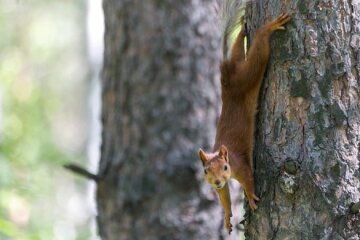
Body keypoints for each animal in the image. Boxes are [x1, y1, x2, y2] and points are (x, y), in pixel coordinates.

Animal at [198, 0, 292, 233]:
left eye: (225, 167)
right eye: (205, 171)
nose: (217, 181)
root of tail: (227, 77)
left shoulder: (240, 165)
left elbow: (249, 180)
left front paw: (250, 198)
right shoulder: (221, 187)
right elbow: (224, 197)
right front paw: (226, 217)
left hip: (248, 75)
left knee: (258, 52)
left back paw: (266, 29)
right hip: (240, 65)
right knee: (238, 49)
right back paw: (242, 30)